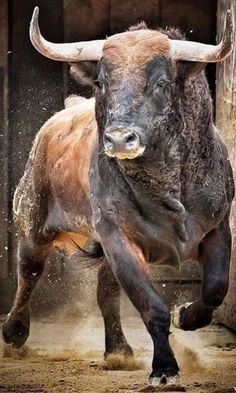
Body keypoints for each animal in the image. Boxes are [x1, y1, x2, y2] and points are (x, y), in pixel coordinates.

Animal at [1, 6, 234, 386]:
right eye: (103, 82)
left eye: (161, 82)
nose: (120, 139)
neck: (167, 188)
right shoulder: (118, 237)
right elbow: (151, 305)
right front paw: (165, 368)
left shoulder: (217, 228)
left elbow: (215, 288)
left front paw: (185, 314)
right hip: (35, 223)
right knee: (30, 271)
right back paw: (14, 332)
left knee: (106, 292)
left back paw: (119, 351)